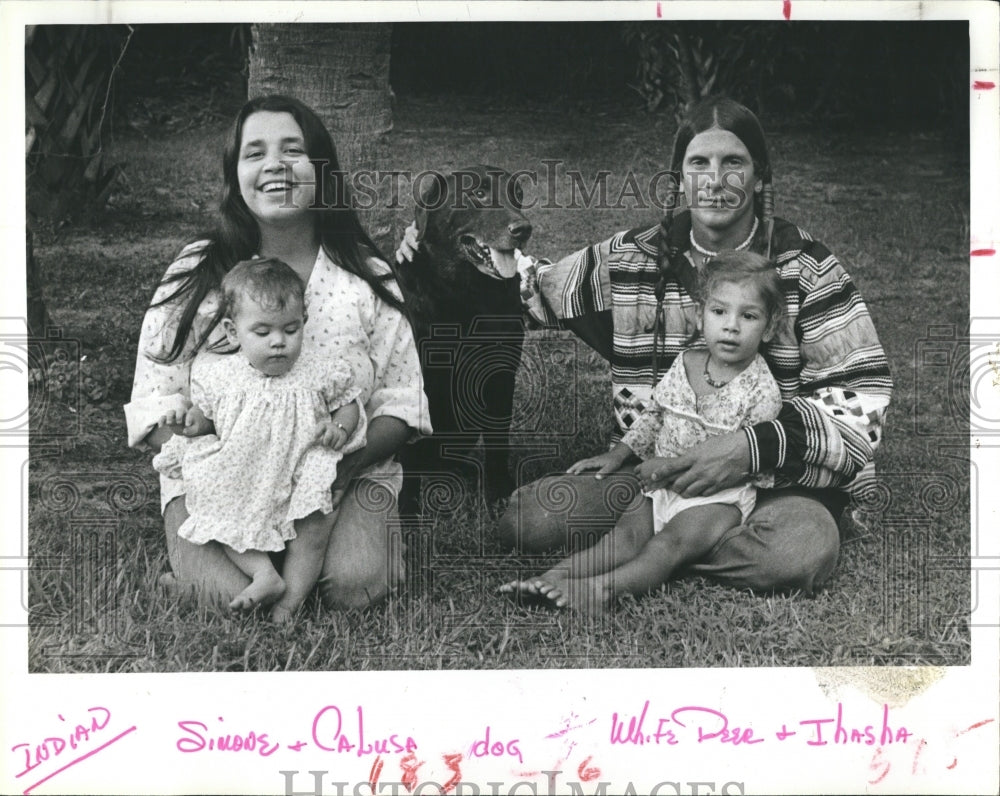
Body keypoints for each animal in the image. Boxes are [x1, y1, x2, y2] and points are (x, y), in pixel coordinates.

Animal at [390, 165, 532, 512]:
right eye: (478, 193)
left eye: (517, 195)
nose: (523, 229)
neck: (467, 295)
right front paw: (407, 507)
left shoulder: (502, 375)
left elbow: (498, 442)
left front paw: (500, 492)